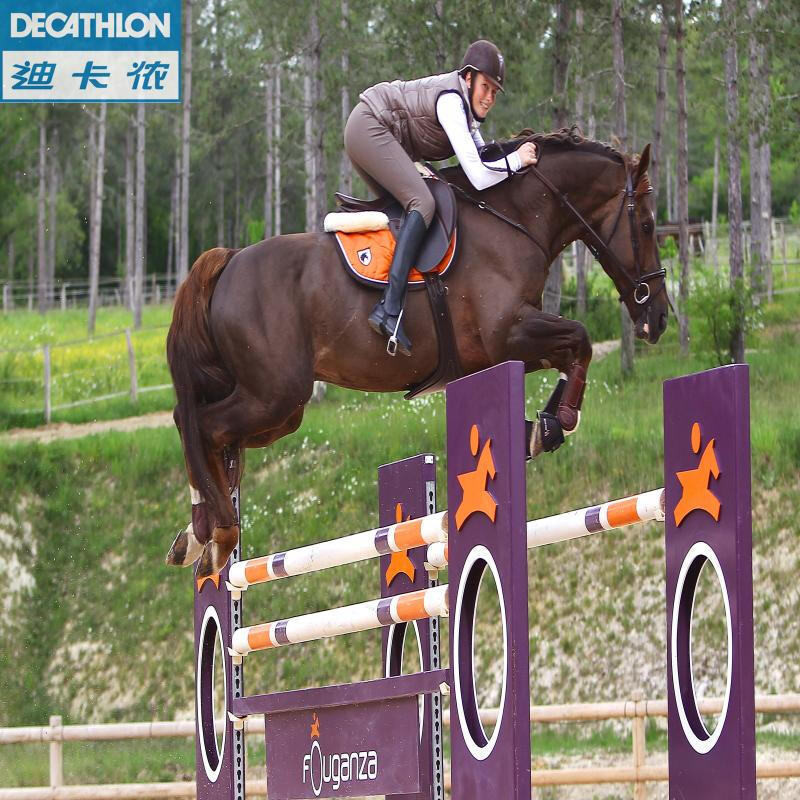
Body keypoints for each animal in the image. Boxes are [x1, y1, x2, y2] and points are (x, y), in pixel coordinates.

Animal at [166, 129, 669, 578]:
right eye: (647, 225)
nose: (659, 318)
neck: (512, 219)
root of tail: (228, 260)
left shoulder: (499, 351)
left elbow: (570, 351)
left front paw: (541, 426)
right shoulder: (508, 334)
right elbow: (580, 338)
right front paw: (557, 422)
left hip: (277, 411)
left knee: (203, 430)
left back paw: (196, 531)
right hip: (275, 395)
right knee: (203, 425)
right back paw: (219, 535)